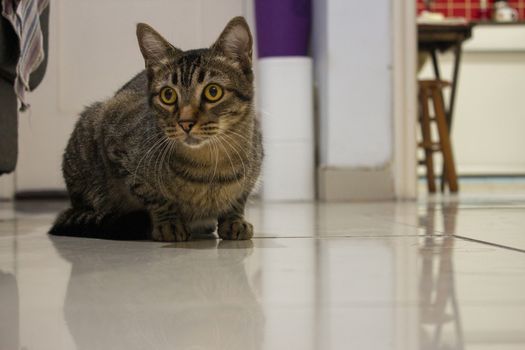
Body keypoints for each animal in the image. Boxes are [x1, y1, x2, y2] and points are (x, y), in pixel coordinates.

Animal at [49, 16, 262, 241]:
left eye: (213, 91)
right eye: (168, 95)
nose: (185, 123)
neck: (209, 167)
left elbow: (239, 197)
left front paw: (234, 220)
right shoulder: (116, 146)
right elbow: (155, 196)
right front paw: (169, 223)